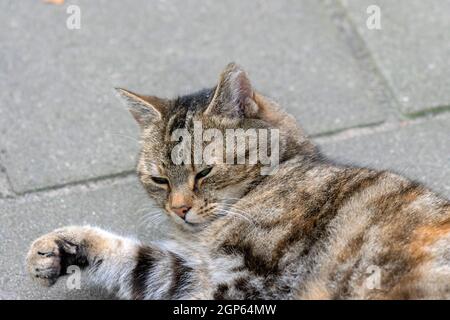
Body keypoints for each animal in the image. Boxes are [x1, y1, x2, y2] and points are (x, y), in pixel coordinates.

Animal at [26, 63, 448, 300]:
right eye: (160, 179)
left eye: (204, 172)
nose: (179, 209)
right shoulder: (198, 270)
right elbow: (140, 262)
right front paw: (60, 249)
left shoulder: (257, 279)